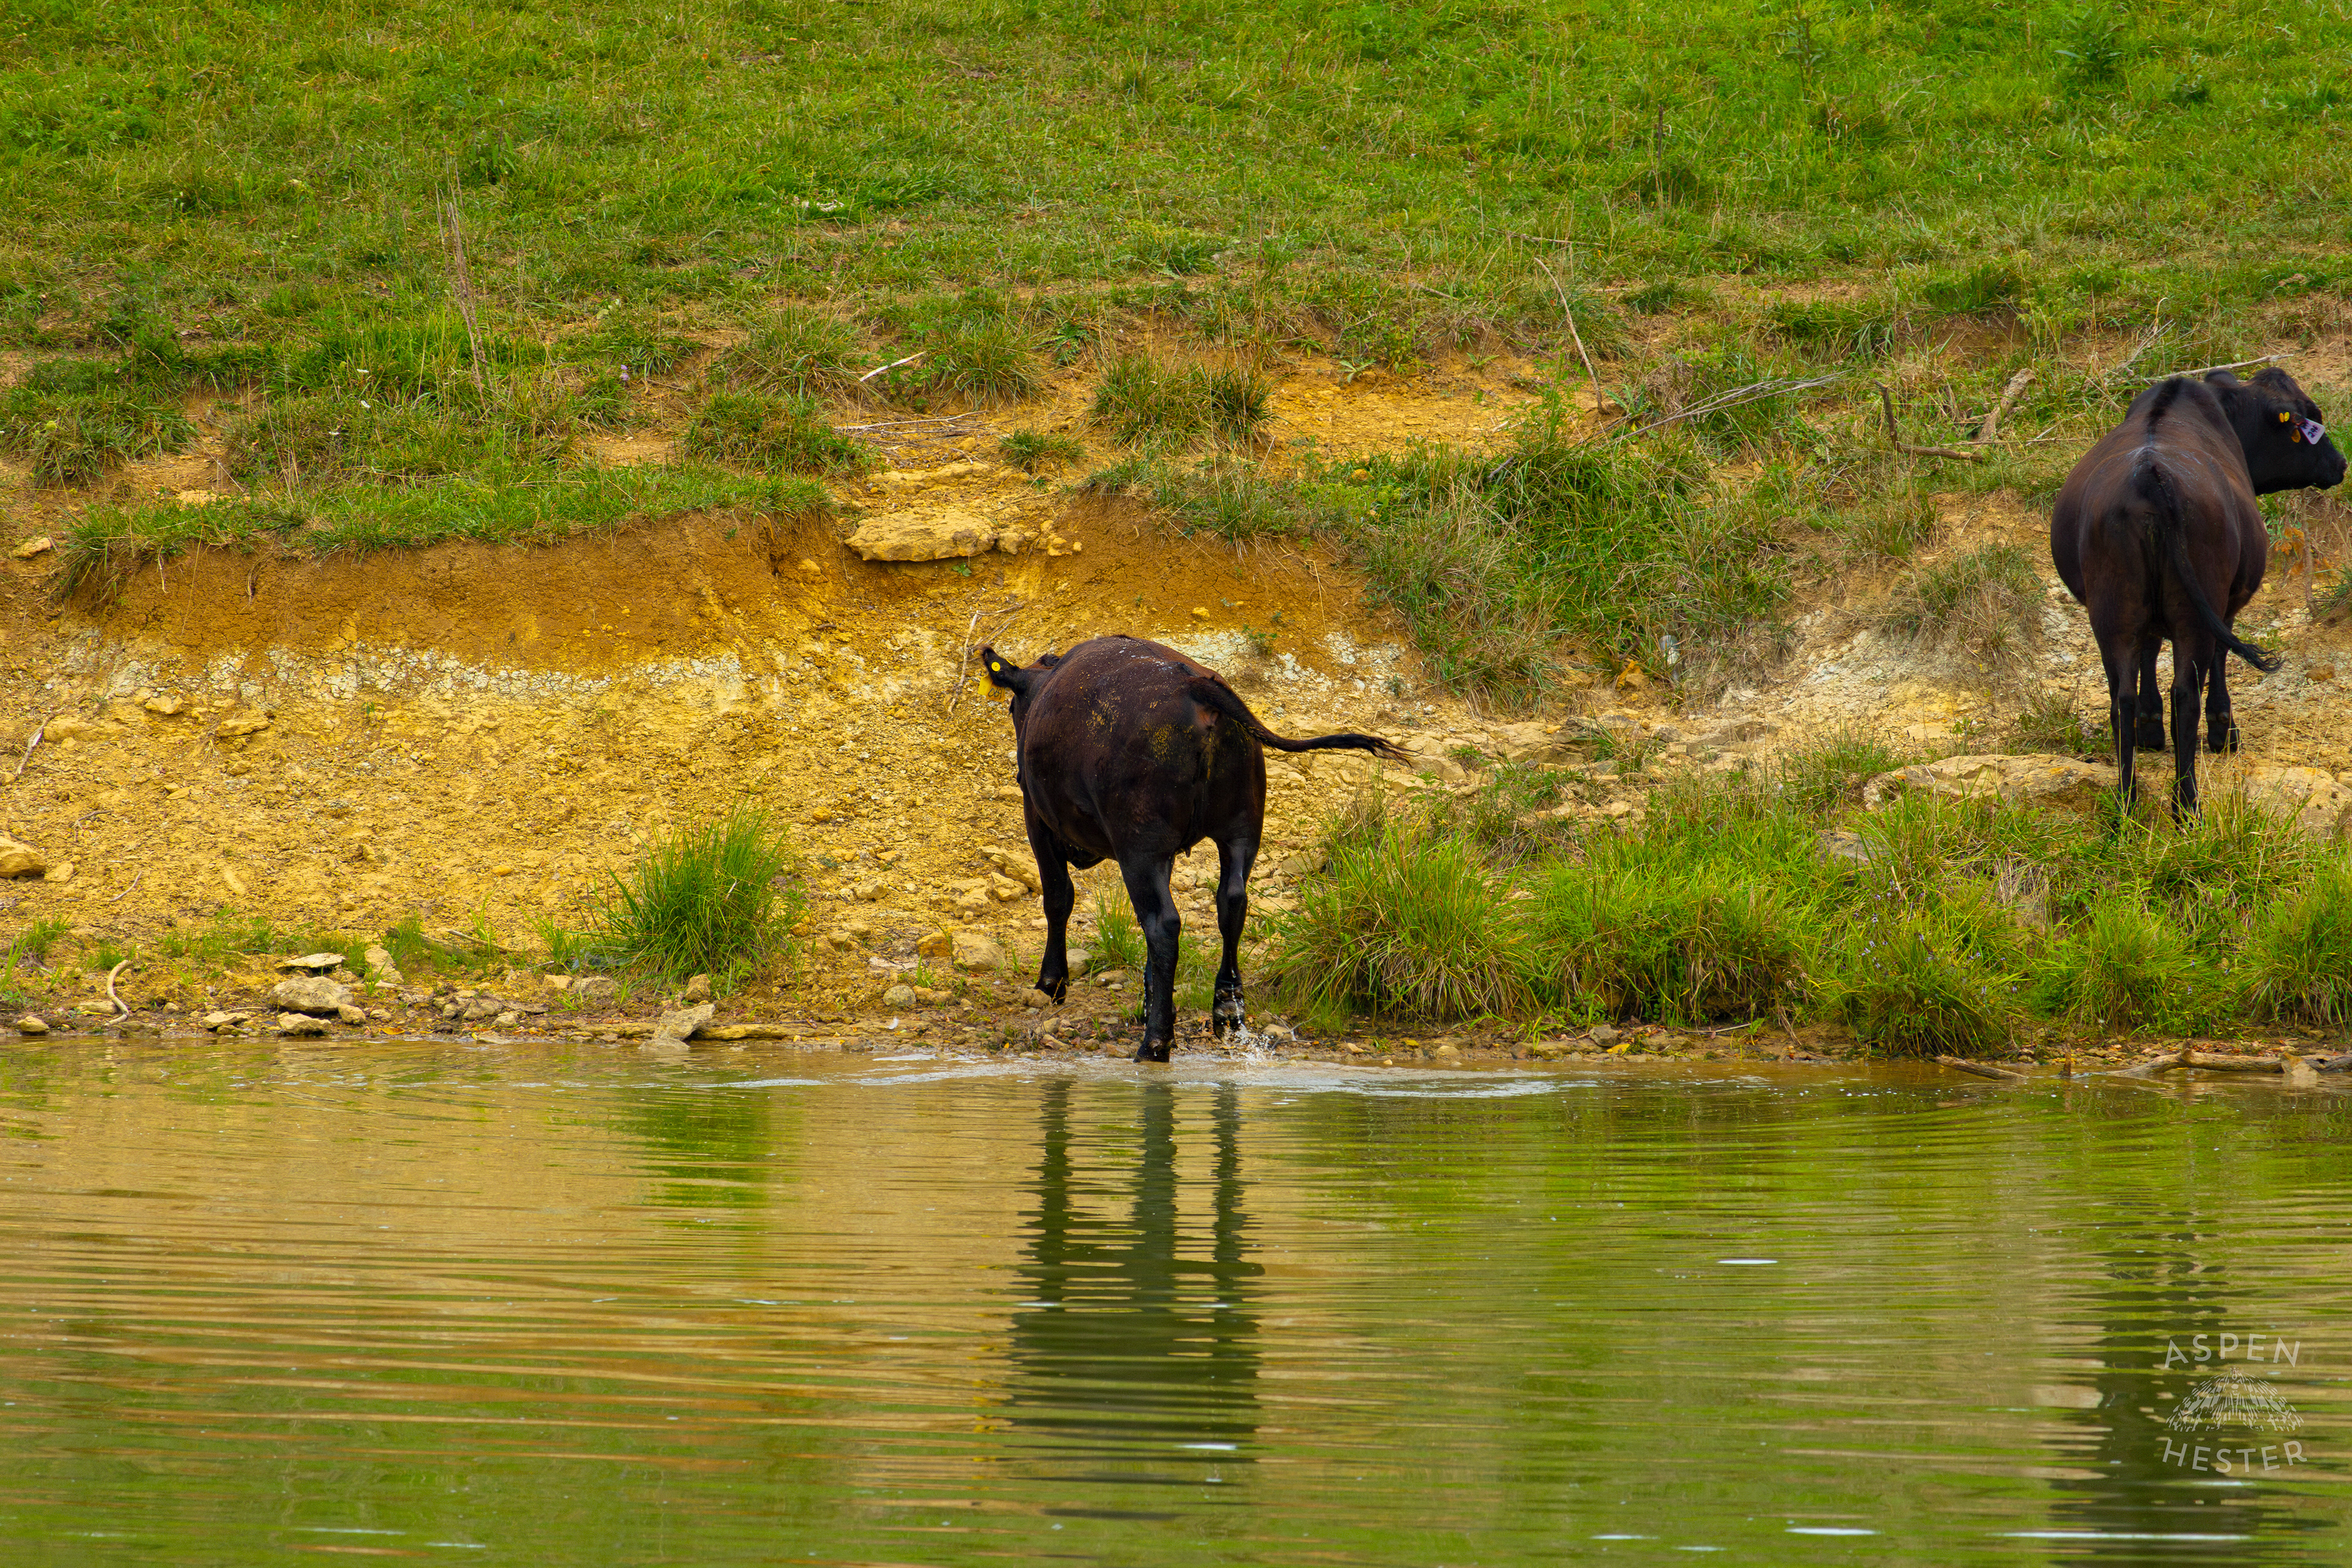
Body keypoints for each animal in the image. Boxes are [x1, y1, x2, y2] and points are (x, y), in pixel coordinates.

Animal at [980, 635, 1406, 1062]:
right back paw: (1227, 1011)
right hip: (1240, 833)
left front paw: (1051, 983)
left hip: (1140, 849)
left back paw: (1155, 1042)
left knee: (1163, 924)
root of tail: (1193, 683)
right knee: (1231, 903)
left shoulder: (1037, 818)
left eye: (1011, 708)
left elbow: (1057, 897)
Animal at [2050, 367, 2343, 815]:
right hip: (2196, 612)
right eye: (2311, 416)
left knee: (2122, 698)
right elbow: (2221, 657)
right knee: (2186, 693)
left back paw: (2126, 803)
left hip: (2113, 611)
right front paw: (2224, 730)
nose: (2341, 463)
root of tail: (2151, 475)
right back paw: (2186, 805)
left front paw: (2150, 728)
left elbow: (2149, 654)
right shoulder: (2227, 605)